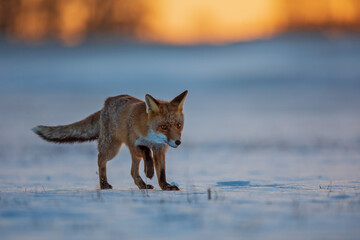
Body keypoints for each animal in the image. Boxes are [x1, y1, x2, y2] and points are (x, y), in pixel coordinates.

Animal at [32, 91, 188, 190]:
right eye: (164, 127)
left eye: (178, 125)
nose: (177, 142)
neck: (152, 137)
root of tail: (106, 104)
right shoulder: (134, 143)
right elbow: (146, 151)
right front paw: (149, 171)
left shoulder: (160, 150)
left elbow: (161, 172)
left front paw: (165, 186)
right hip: (112, 148)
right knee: (100, 159)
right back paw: (104, 184)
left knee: (132, 172)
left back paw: (142, 185)